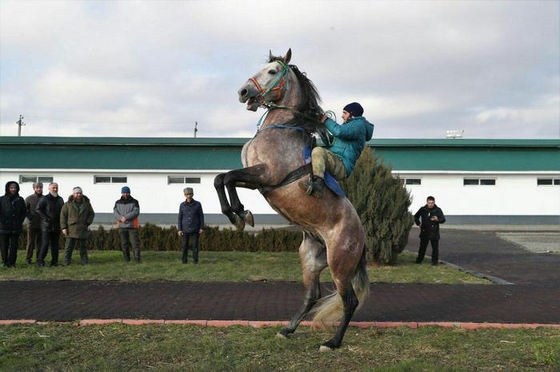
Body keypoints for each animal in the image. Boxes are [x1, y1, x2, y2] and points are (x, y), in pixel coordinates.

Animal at [213, 49, 368, 352]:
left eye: (273, 71)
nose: (243, 92)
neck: (281, 128)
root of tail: (362, 238)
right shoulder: (258, 181)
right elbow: (222, 178)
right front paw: (238, 214)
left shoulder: (267, 175)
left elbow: (227, 178)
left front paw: (240, 214)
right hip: (310, 258)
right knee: (312, 295)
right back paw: (288, 329)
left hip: (339, 264)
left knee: (350, 301)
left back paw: (331, 342)